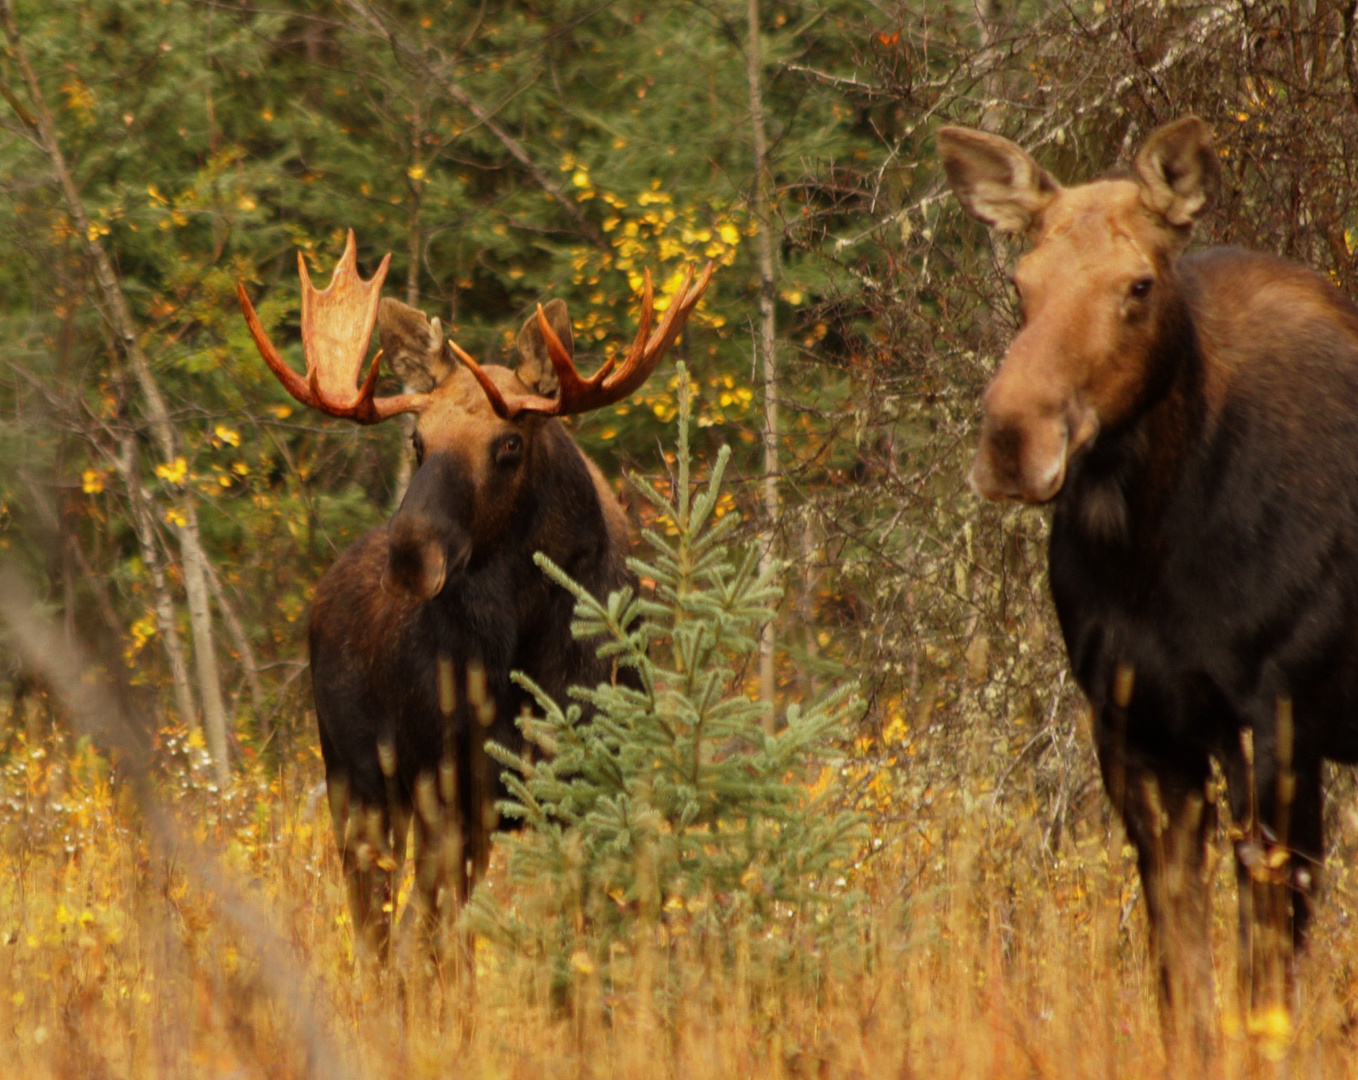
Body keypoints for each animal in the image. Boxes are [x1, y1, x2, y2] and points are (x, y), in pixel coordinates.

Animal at [240, 232, 717, 956]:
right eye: (417, 439)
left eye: (510, 443)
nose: (412, 552)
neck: (529, 649)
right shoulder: (451, 794)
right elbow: (441, 948)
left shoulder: (592, 784)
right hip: (358, 782)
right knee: (381, 933)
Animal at [939, 118, 1358, 1037]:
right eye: (1021, 280)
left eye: (1138, 284)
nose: (1012, 441)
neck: (1152, 550)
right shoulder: (1136, 731)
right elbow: (1186, 997)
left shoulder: (1278, 725)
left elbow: (1263, 993)